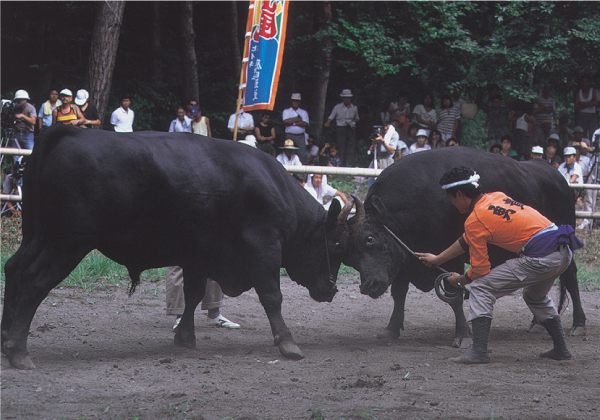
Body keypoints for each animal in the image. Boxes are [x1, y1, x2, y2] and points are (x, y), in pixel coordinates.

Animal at [1, 126, 356, 370]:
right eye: (337, 244)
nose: (331, 290)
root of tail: (69, 132)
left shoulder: (198, 255)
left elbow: (194, 294)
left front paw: (185, 336)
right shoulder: (264, 248)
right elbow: (272, 296)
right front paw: (288, 343)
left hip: (37, 237)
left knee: (14, 269)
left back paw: (6, 339)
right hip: (66, 244)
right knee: (34, 281)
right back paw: (19, 351)